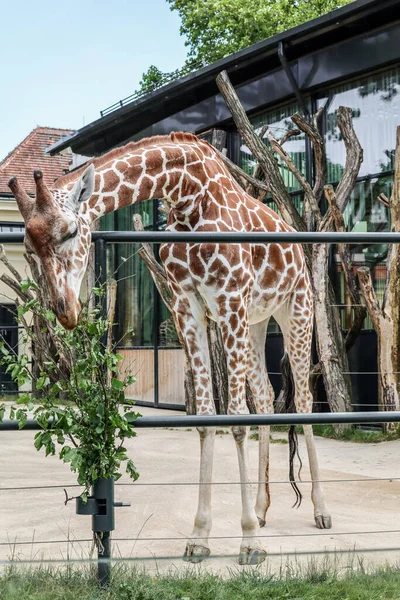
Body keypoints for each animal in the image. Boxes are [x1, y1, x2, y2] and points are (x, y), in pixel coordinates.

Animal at [8, 132, 332, 568]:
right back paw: (263, 508)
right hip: (257, 319)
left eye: (73, 231)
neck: (187, 195)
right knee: (265, 396)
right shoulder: (187, 304)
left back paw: (319, 510)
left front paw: (248, 541)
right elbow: (207, 418)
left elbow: (236, 419)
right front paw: (200, 537)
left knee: (304, 398)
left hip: (296, 308)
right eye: (28, 246)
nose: (67, 312)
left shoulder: (229, 299)